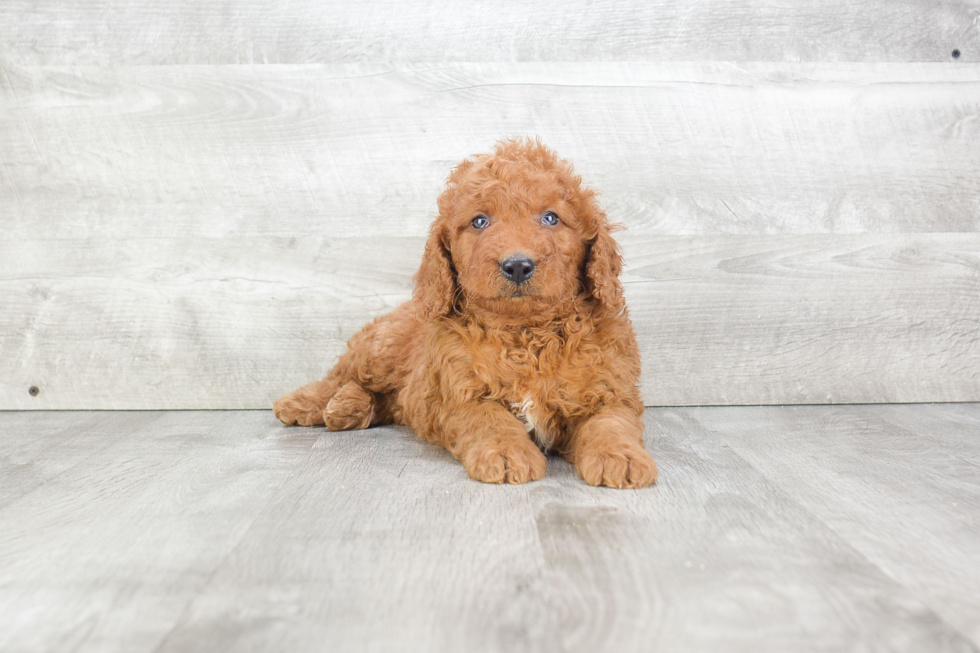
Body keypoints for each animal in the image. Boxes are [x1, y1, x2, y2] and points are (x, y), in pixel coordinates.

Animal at [274, 138, 660, 486]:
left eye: (551, 218)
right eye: (479, 222)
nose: (517, 265)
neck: (525, 333)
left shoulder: (611, 389)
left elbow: (611, 422)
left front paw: (621, 457)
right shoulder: (459, 393)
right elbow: (490, 419)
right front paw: (506, 453)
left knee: (389, 400)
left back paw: (350, 407)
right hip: (380, 346)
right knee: (343, 374)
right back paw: (305, 403)